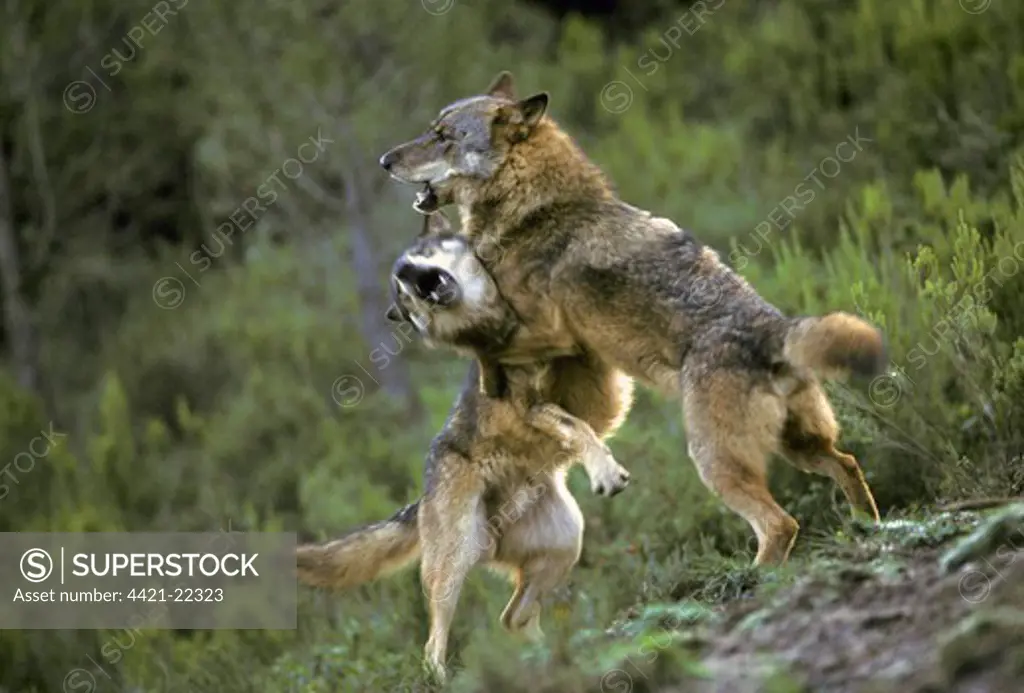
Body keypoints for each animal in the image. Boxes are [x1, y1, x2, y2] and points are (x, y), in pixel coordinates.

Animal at [294, 211, 630, 679]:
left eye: (422, 255)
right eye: (401, 289)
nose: (412, 277)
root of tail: (421, 496)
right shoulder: (534, 405)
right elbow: (577, 427)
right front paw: (605, 470)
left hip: (565, 542)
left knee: (513, 618)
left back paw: (552, 659)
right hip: (455, 561)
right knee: (434, 643)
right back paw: (453, 678)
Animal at [378, 70, 888, 569]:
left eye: (442, 136)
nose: (384, 160)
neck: (533, 210)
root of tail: (778, 331)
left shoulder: (548, 332)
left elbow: (483, 349)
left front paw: (487, 379)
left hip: (715, 463)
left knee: (781, 524)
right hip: (800, 448)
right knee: (847, 464)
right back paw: (870, 533)